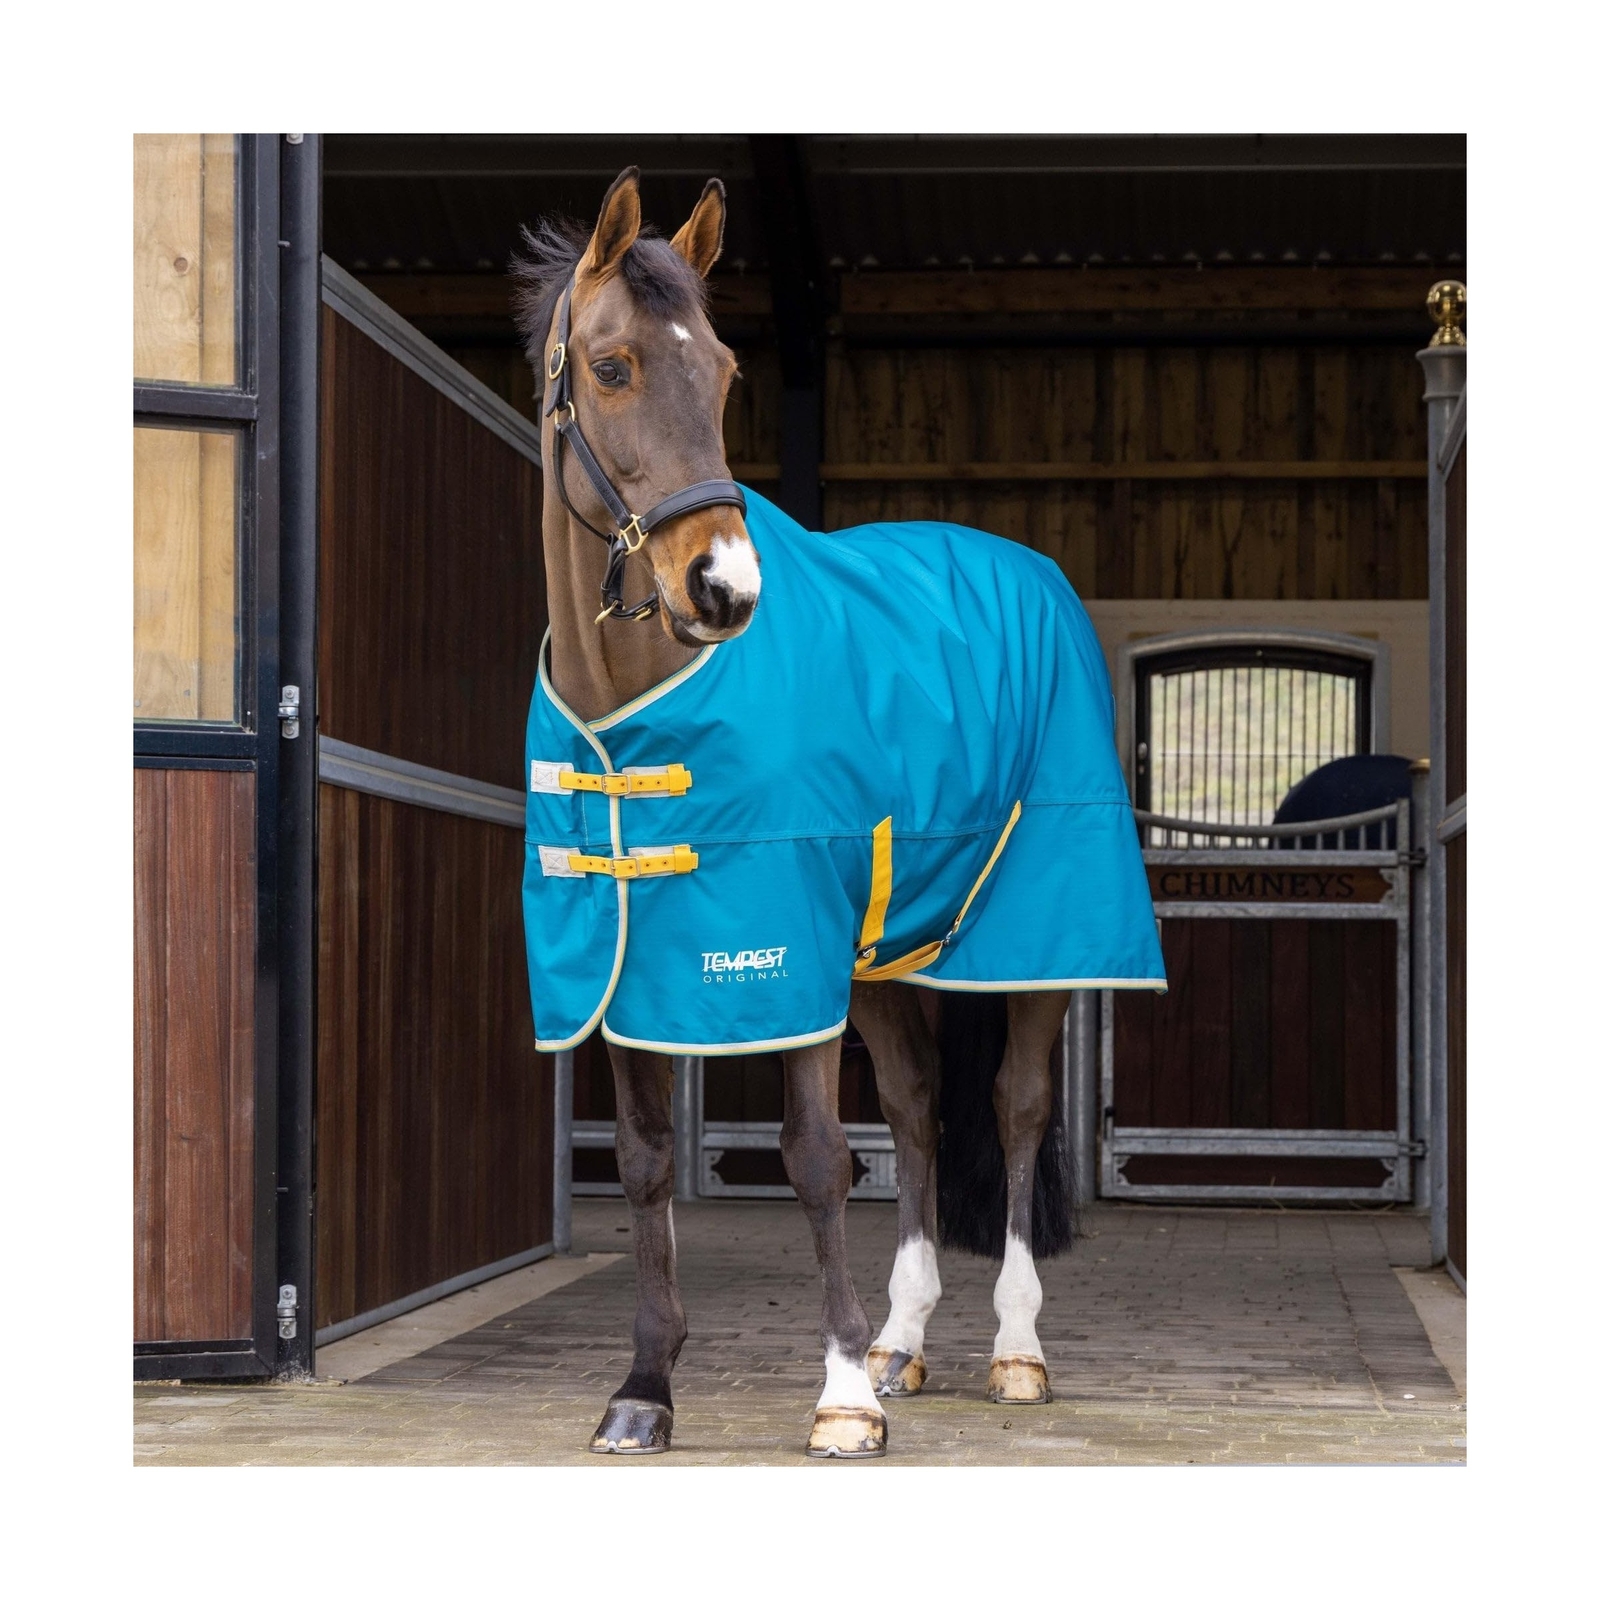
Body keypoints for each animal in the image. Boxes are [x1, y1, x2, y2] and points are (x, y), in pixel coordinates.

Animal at [512, 167, 1164, 1459]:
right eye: (610, 367)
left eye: (724, 371)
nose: (723, 588)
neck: (636, 704)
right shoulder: (625, 959)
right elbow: (649, 1164)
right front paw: (644, 1388)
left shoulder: (777, 946)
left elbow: (815, 1159)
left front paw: (841, 1397)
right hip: (883, 956)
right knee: (913, 1112)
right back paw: (903, 1340)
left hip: (1035, 940)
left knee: (1013, 1109)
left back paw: (1013, 1350)